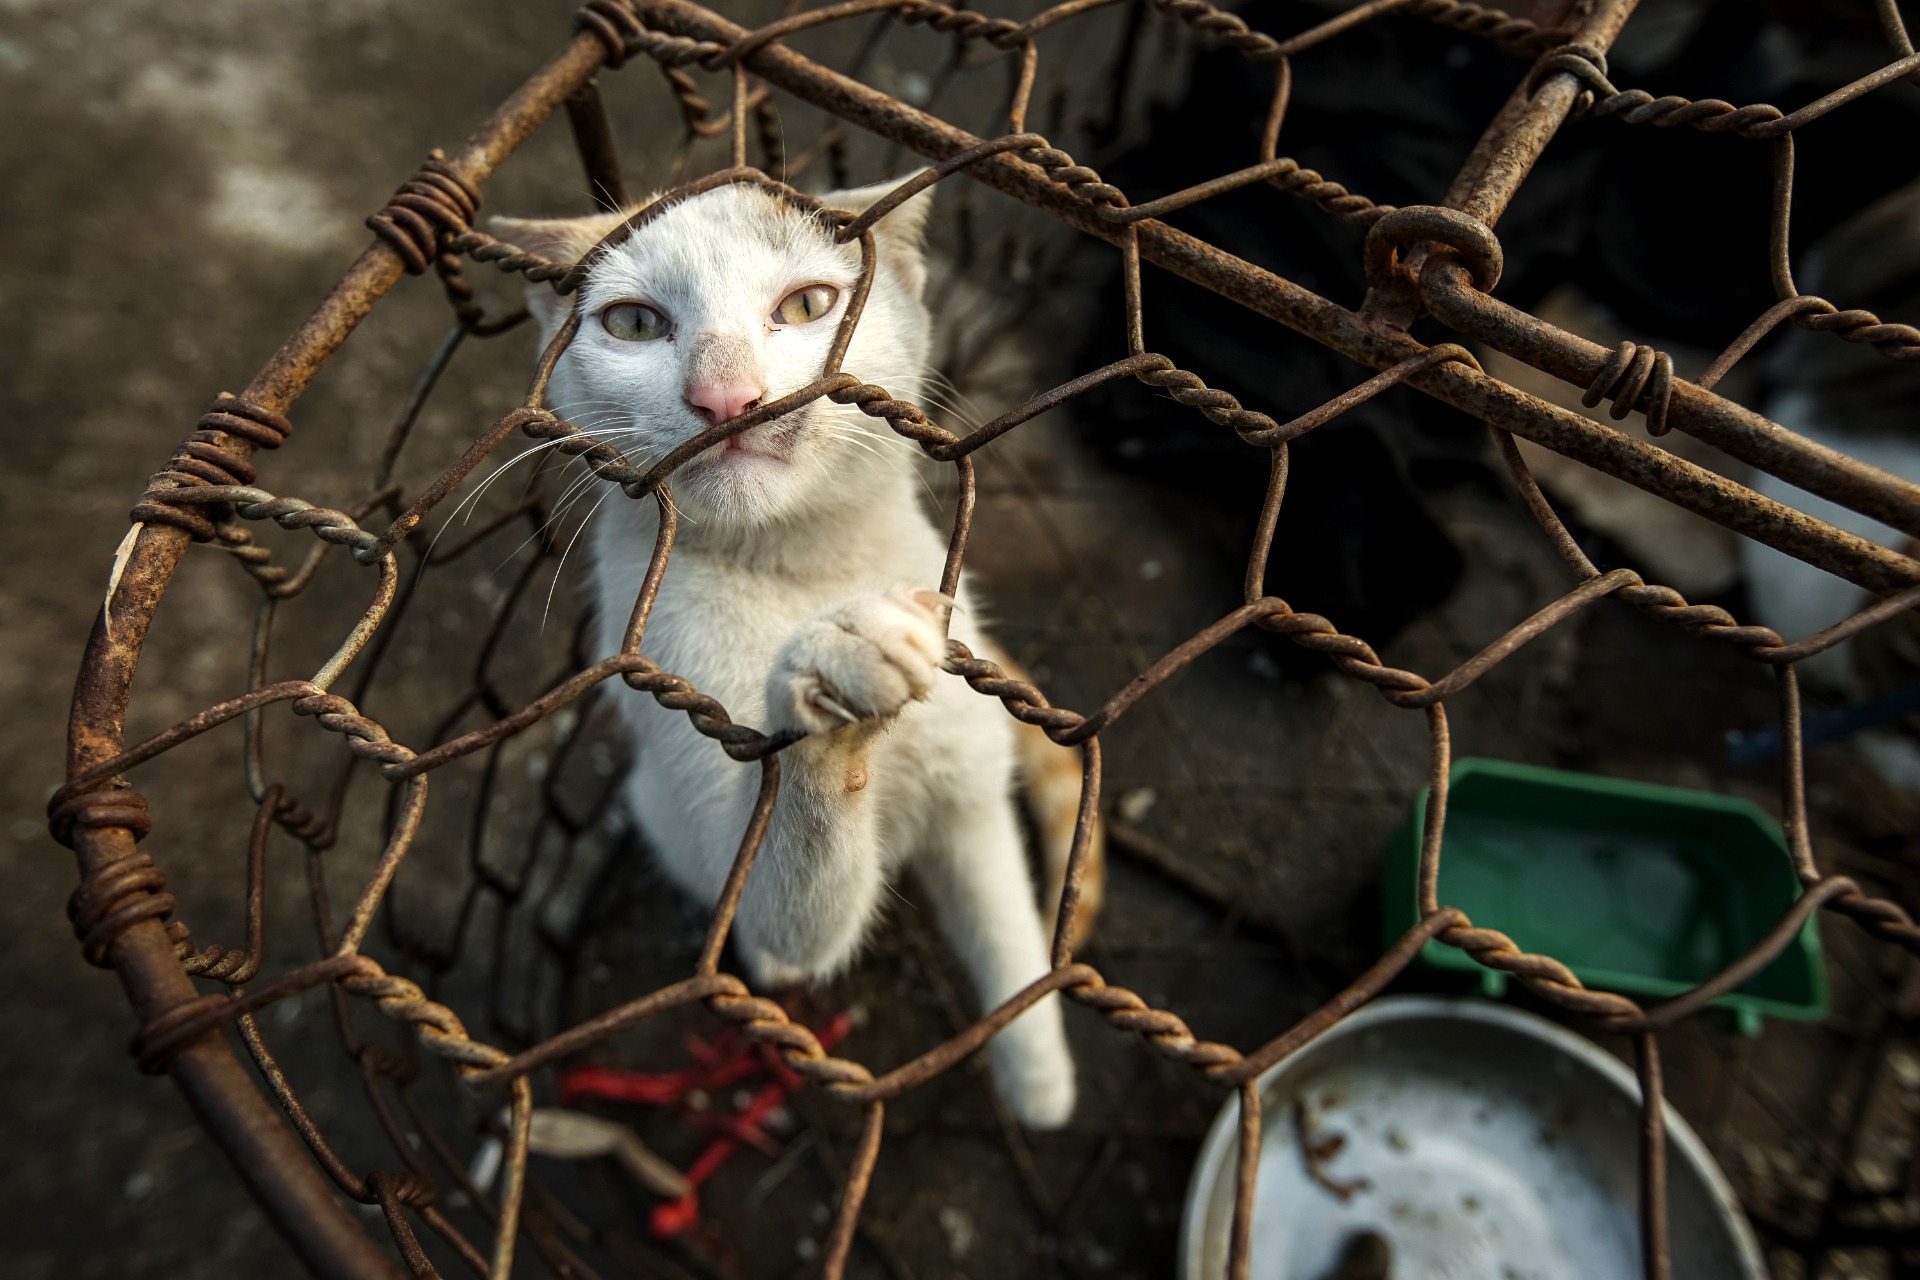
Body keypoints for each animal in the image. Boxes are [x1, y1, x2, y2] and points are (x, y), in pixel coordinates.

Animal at [487, 182, 1105, 1128]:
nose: (725, 396)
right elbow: (793, 914)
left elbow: (1003, 921)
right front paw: (830, 685)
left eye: (810, 305)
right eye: (633, 323)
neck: (797, 568)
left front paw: (1038, 1077)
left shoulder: (970, 797)